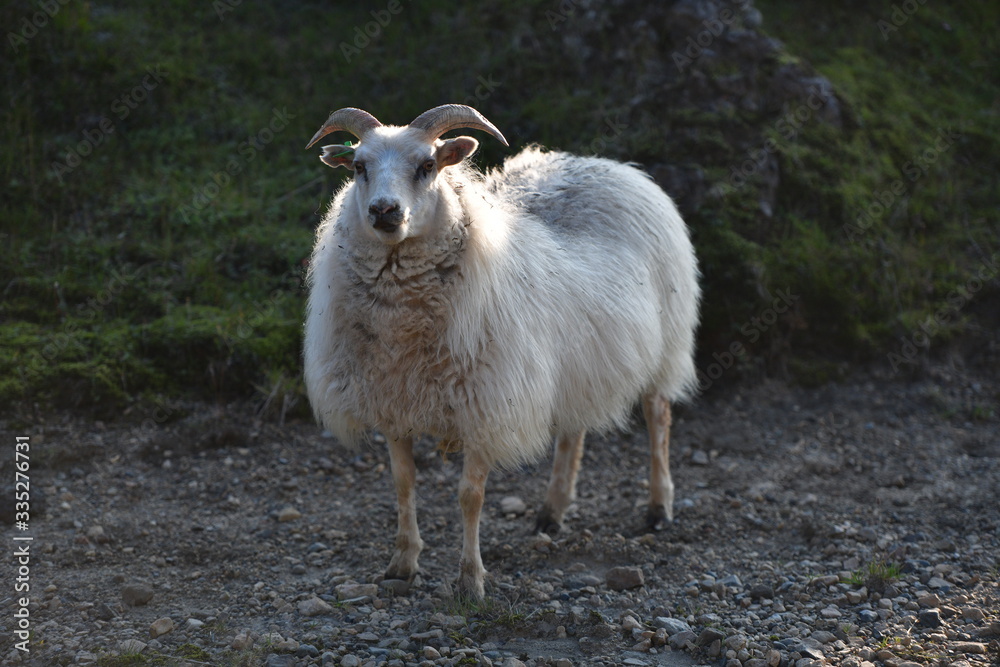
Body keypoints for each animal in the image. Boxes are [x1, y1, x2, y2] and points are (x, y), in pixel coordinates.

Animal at [303, 104, 700, 599]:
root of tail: (611, 165)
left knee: (658, 418)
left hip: (666, 345)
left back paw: (658, 508)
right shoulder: (394, 402)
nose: (384, 211)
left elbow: (469, 496)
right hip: (576, 362)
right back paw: (551, 512)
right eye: (359, 167)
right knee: (573, 432)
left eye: (427, 166)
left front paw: (470, 580)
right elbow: (403, 484)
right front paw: (402, 563)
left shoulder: (486, 406)